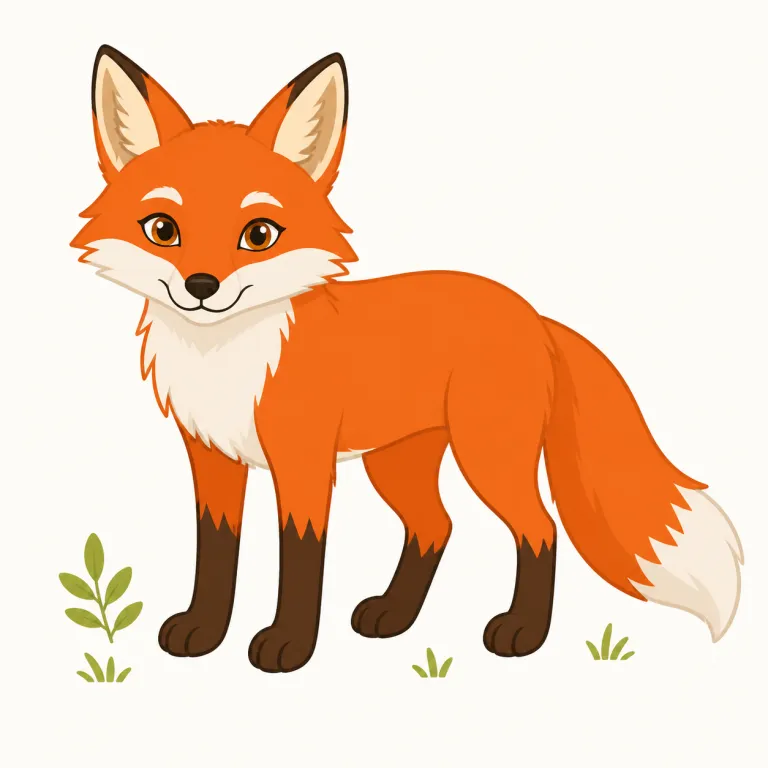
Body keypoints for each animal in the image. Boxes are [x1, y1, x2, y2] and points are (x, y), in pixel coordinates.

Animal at [72, 45, 744, 673]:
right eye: (163, 229)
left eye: (258, 235)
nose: (201, 286)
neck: (228, 359)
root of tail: (532, 314)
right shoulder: (212, 458)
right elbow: (215, 553)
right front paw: (204, 631)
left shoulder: (304, 462)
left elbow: (301, 558)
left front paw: (290, 644)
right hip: (396, 462)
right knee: (435, 526)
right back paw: (394, 616)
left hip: (486, 456)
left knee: (539, 528)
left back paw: (522, 632)